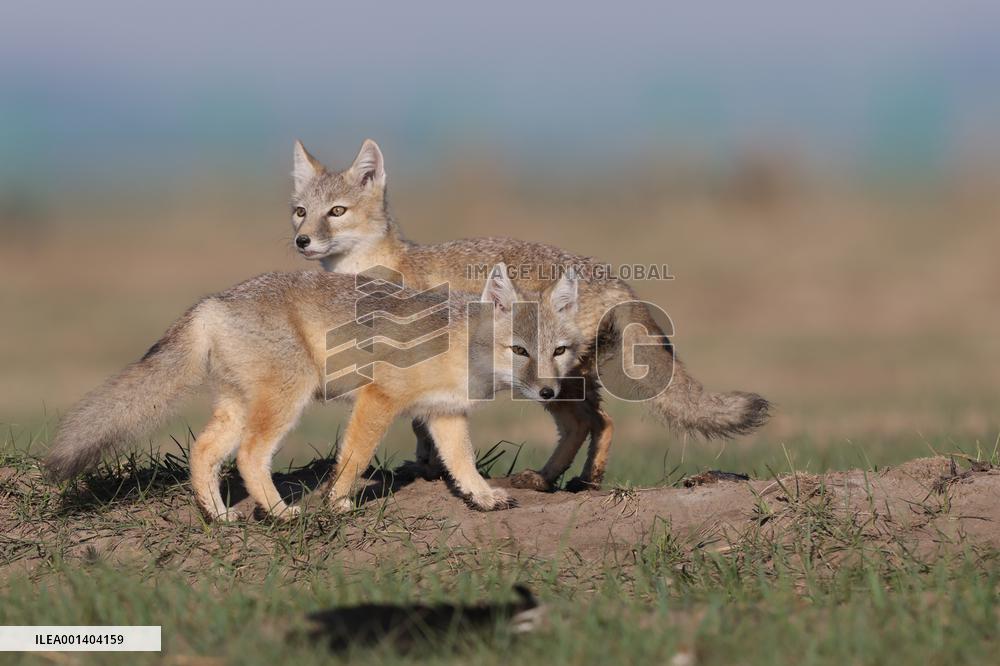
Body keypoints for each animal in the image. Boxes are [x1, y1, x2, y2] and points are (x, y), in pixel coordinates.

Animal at [44, 266, 586, 519]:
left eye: (558, 350)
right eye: (519, 350)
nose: (548, 390)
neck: (459, 346)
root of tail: (213, 302)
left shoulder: (444, 414)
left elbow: (463, 463)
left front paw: (483, 497)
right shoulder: (378, 399)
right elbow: (355, 456)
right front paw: (339, 502)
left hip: (241, 406)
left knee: (204, 451)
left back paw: (219, 516)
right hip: (287, 399)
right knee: (249, 455)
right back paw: (280, 513)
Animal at [288, 139, 771, 492]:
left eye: (337, 212)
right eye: (301, 212)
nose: (302, 241)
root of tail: (613, 277)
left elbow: (423, 422)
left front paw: (431, 469)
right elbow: (423, 420)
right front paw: (426, 466)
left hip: (552, 384)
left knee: (593, 422)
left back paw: (561, 479)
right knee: (596, 423)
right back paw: (562, 479)